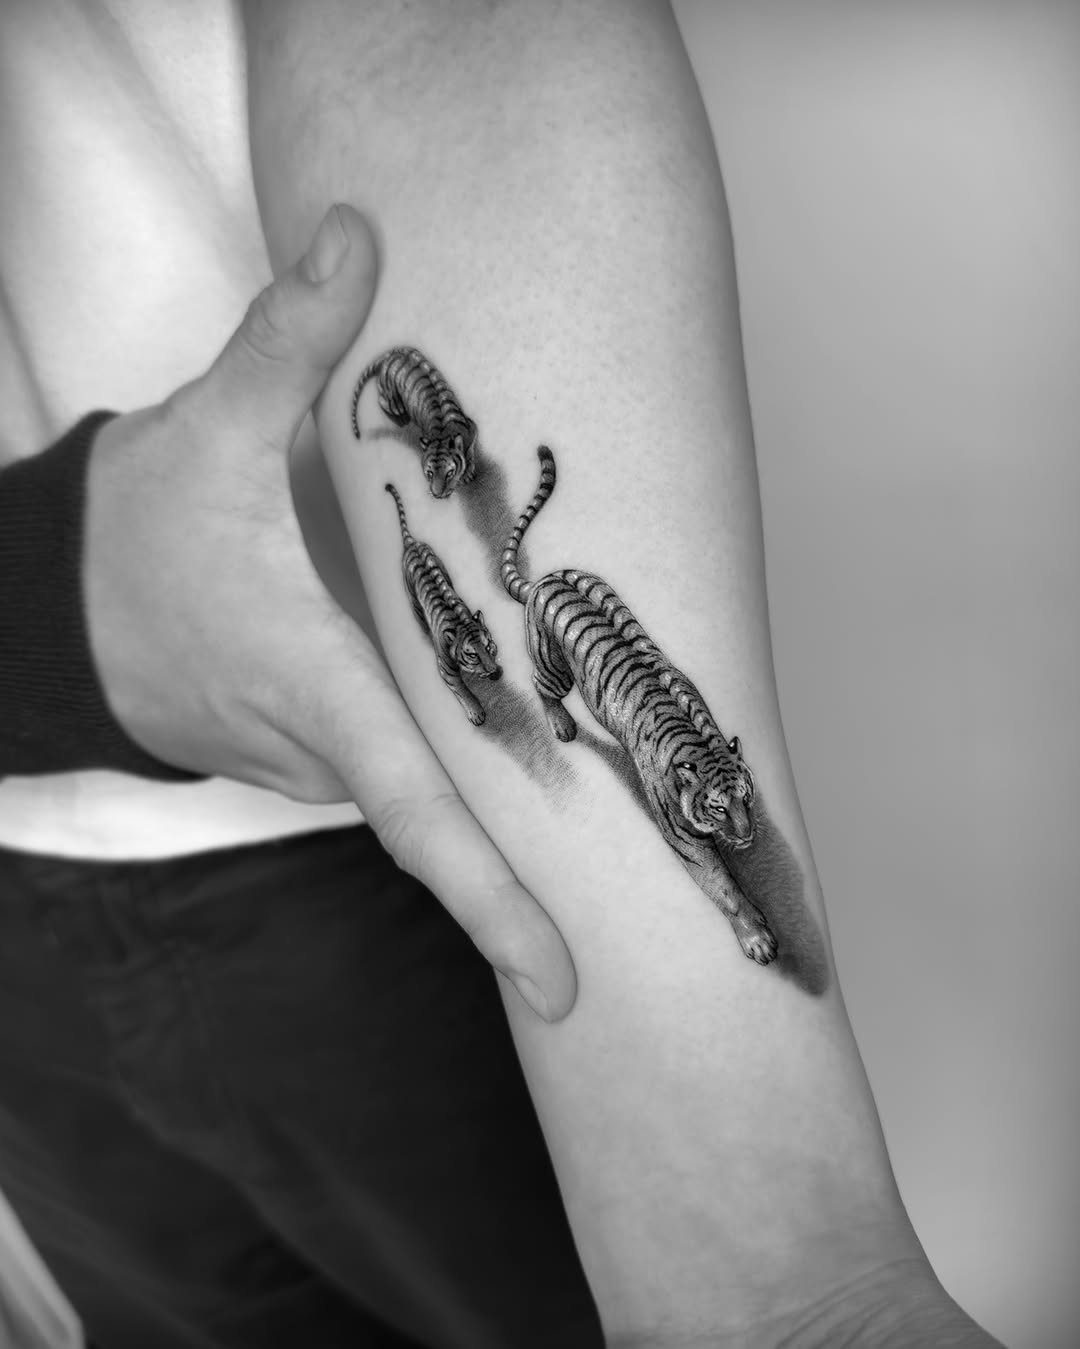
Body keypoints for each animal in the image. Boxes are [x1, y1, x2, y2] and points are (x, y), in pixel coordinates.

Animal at [353, 347, 478, 499]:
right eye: (430, 473)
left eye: (449, 473)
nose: (436, 495)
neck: (443, 434)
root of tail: (388, 355)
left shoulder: (472, 429)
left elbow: (470, 451)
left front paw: (467, 473)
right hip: (390, 396)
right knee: (382, 401)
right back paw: (400, 414)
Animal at [386, 483, 501, 724]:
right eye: (472, 654)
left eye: (488, 646)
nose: (495, 672)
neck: (460, 621)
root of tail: (412, 542)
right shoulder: (446, 669)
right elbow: (463, 690)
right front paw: (476, 713)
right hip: (412, 598)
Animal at [500, 446, 777, 965]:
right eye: (717, 807)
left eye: (747, 799)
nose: (748, 834)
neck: (700, 745)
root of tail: (545, 577)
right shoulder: (684, 837)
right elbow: (724, 889)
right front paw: (758, 939)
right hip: (554, 666)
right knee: (540, 685)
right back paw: (561, 725)